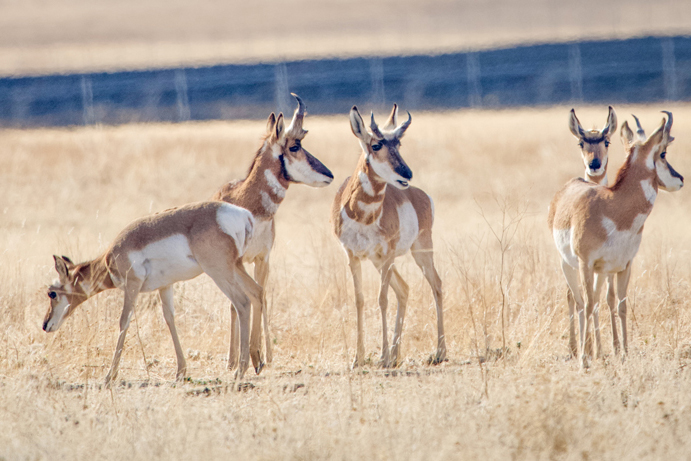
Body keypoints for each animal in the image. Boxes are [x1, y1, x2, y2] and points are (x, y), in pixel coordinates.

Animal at [43, 201, 264, 385]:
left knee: (242, 302)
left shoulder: (132, 286)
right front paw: (180, 371)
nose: (45, 325)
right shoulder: (165, 286)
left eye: (51, 293)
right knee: (257, 292)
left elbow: (124, 321)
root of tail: (243, 215)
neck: (110, 259)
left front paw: (109, 376)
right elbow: (169, 319)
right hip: (236, 267)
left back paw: (240, 371)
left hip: (219, 272)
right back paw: (258, 362)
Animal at [213, 93, 333, 369]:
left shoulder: (263, 259)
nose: (329, 174)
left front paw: (260, 355)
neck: (248, 206)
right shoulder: (238, 261)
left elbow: (262, 295)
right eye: (295, 146)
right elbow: (246, 299)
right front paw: (246, 357)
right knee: (234, 302)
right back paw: (232, 359)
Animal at [332, 104, 445, 368]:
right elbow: (359, 300)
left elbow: (381, 299)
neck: (362, 216)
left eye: (399, 143)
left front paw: (381, 356)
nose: (407, 173)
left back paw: (438, 352)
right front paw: (358, 358)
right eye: (376, 145)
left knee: (436, 285)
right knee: (403, 289)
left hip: (419, 252)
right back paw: (396, 355)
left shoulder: (387, 254)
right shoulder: (353, 257)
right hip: (381, 261)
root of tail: (420, 195)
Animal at [549, 111, 683, 368]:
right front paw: (584, 360)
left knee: (594, 301)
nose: (680, 179)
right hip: (568, 265)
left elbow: (620, 305)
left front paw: (623, 353)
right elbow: (588, 305)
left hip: (600, 272)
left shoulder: (623, 266)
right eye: (662, 153)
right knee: (577, 301)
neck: (612, 207)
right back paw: (578, 351)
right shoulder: (586, 264)